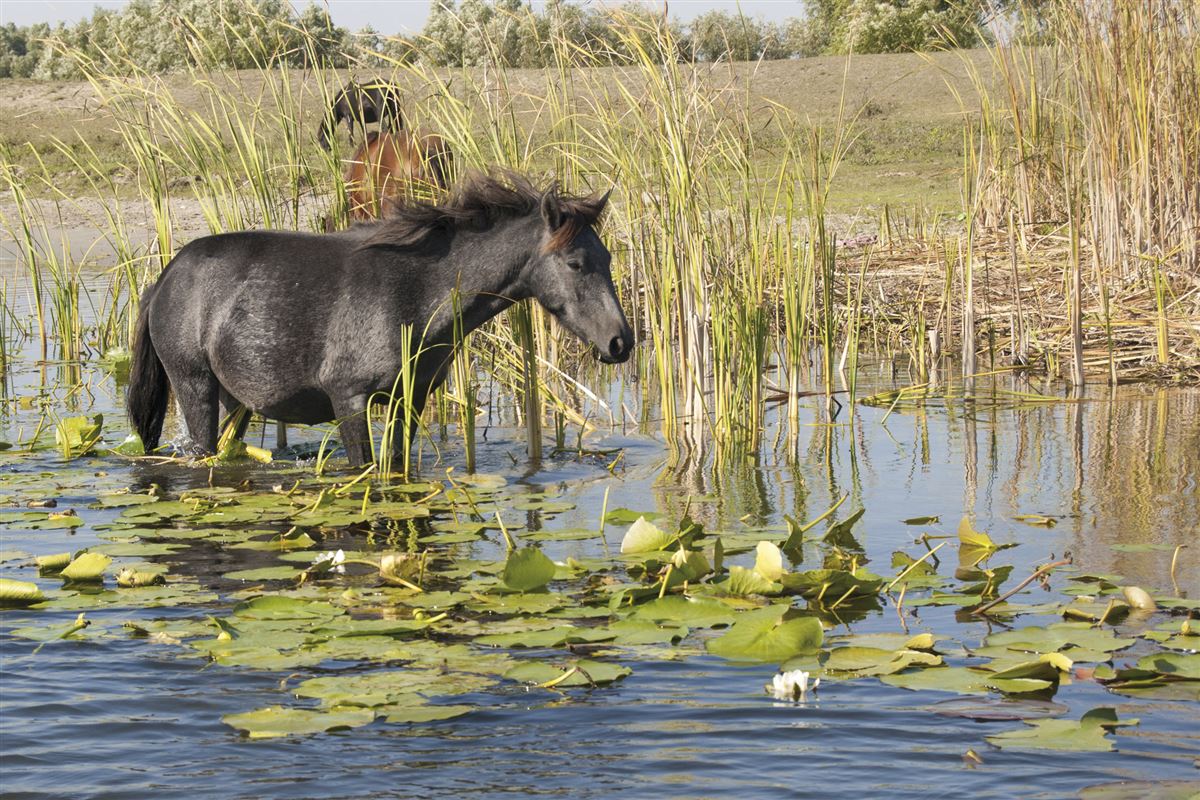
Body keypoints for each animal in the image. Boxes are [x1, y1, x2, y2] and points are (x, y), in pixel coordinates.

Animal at [126, 172, 633, 467]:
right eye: (574, 263)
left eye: (607, 258)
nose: (621, 342)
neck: (416, 292)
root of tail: (167, 274)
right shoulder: (349, 398)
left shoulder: (409, 399)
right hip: (195, 387)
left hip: (236, 401)